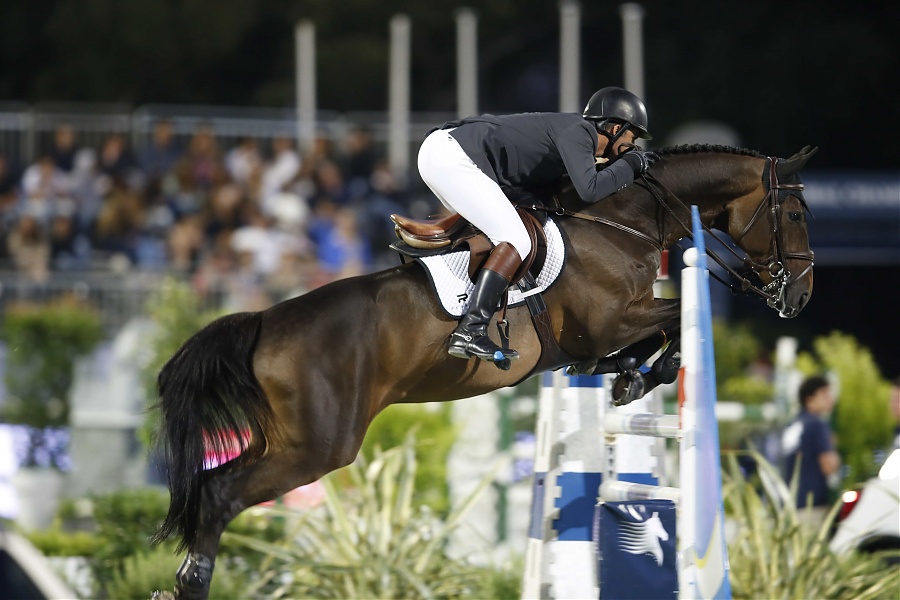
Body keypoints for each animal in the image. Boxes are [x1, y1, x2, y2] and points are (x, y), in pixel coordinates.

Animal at [153, 143, 816, 596]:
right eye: (795, 215)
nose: (801, 297)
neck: (622, 222)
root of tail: (265, 321)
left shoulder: (608, 330)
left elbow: (654, 332)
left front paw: (630, 373)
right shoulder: (609, 320)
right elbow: (678, 316)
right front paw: (646, 372)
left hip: (282, 438)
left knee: (212, 486)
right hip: (320, 445)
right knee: (222, 496)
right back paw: (191, 583)